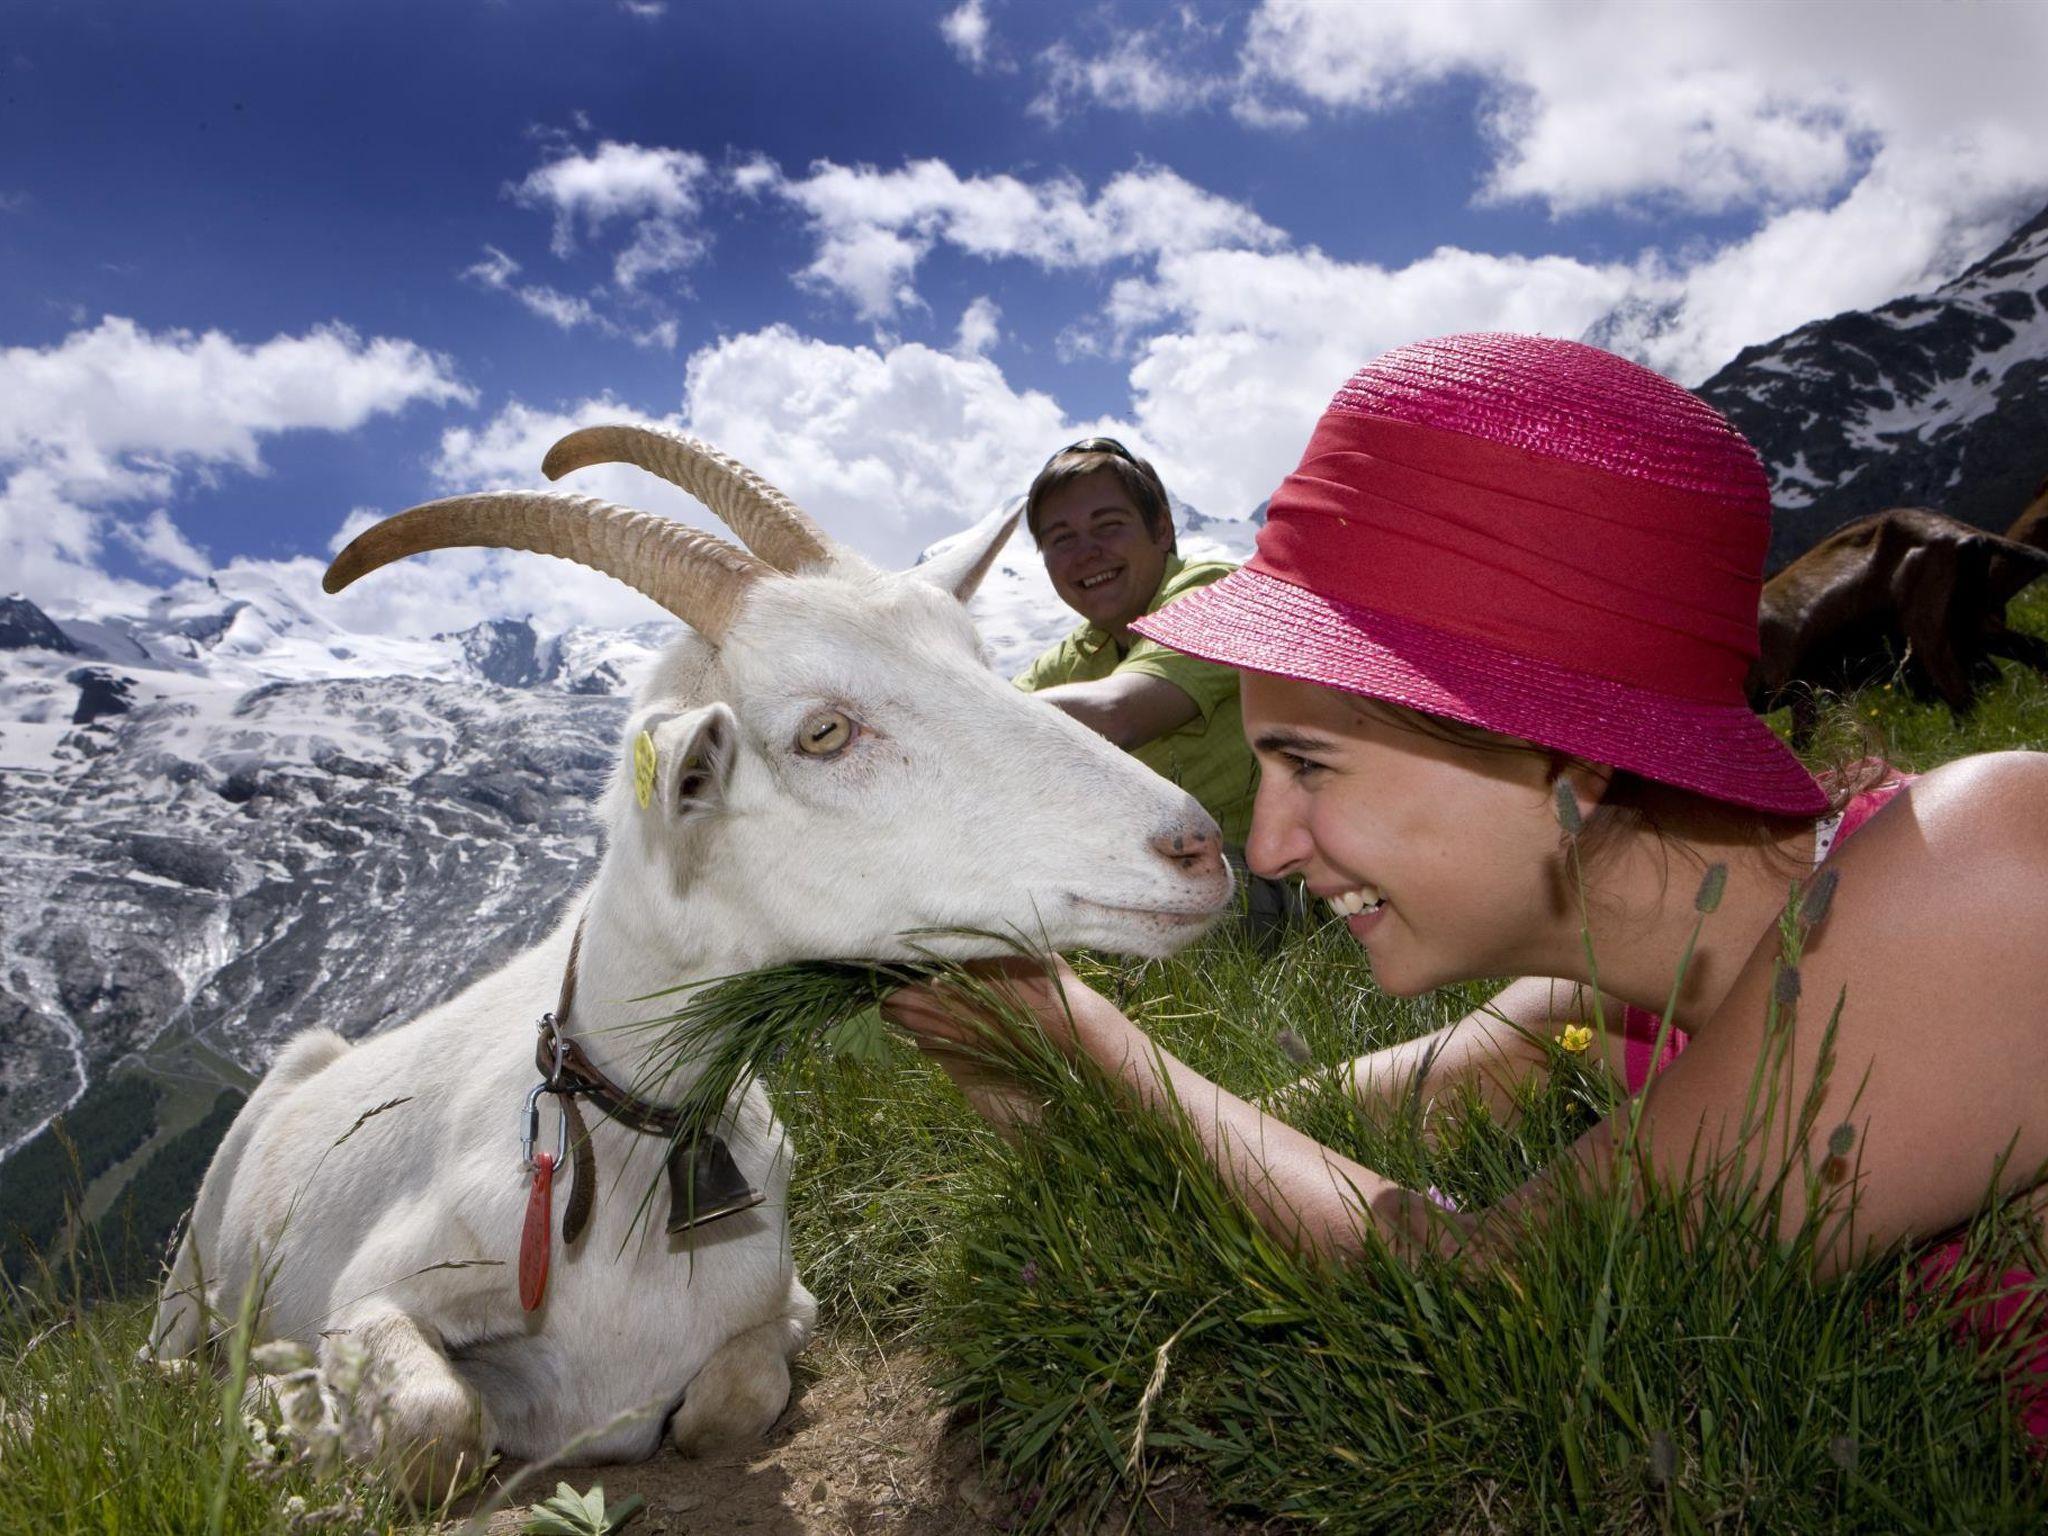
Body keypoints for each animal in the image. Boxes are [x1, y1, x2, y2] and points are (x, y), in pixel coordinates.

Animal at [151, 428, 1228, 1499]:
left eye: (977, 660)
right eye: (823, 731)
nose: (1197, 846)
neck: (624, 1150)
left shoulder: (784, 1300)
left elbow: (732, 1401)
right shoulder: (373, 1297)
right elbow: (435, 1420)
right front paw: (295, 1414)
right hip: (190, 1267)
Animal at [1744, 507, 2048, 741]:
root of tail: (1963, 533)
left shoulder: (1798, 685)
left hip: (1928, 626)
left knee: (1960, 694)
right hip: (1971, 621)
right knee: (2032, 650)